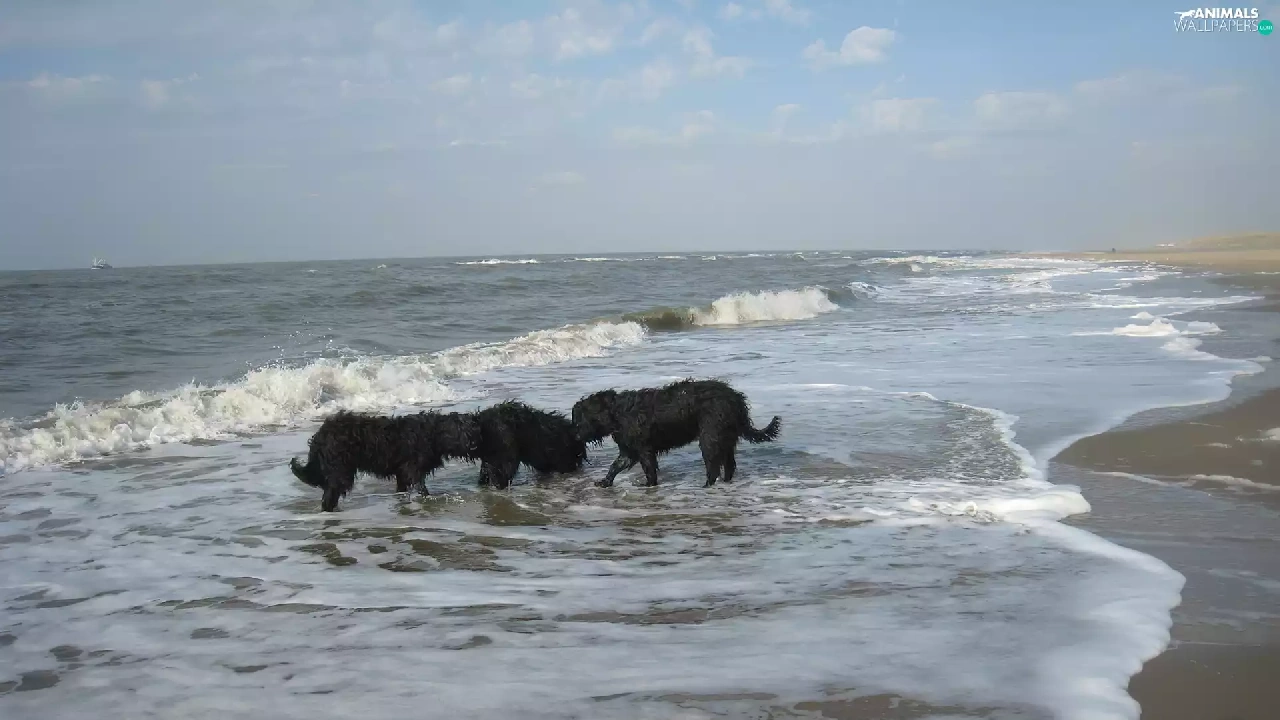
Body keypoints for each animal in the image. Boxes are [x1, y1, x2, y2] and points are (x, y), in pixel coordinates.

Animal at [289, 409, 480, 512]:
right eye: (465, 431)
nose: (474, 445)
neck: (433, 433)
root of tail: (321, 434)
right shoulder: (413, 470)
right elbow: (421, 487)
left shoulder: (402, 473)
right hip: (340, 470)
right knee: (329, 495)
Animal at [571, 378, 781, 488]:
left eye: (580, 419)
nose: (576, 437)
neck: (616, 413)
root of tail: (736, 399)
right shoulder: (628, 450)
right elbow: (615, 466)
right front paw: (605, 482)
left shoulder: (644, 449)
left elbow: (649, 469)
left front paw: (649, 486)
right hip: (725, 437)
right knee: (728, 464)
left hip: (710, 437)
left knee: (713, 465)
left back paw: (707, 485)